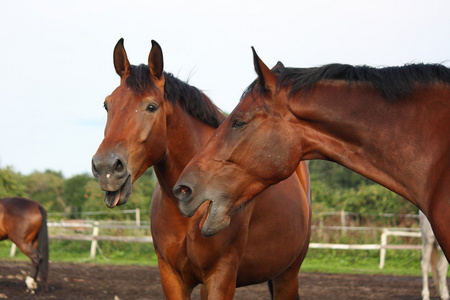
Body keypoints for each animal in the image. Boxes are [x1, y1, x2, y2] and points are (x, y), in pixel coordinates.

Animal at [90, 38, 310, 298]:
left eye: (152, 107)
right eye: (107, 105)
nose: (106, 168)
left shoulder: (220, 276)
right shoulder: (171, 277)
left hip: (287, 275)